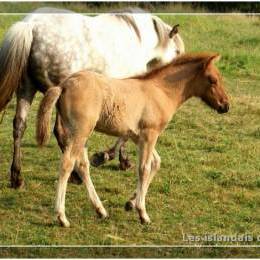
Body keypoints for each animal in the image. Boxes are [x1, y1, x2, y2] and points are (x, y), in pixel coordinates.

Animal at [0, 7, 184, 188]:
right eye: (177, 51)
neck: (139, 39)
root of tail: (31, 25)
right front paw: (114, 158)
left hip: (26, 89)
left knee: (19, 126)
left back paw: (17, 178)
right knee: (61, 133)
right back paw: (75, 175)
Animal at [37, 51, 230, 226]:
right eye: (212, 80)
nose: (225, 106)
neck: (161, 91)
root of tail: (64, 85)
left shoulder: (138, 136)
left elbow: (156, 163)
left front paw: (131, 203)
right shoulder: (150, 134)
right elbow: (144, 168)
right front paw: (142, 213)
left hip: (79, 134)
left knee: (82, 165)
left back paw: (100, 210)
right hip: (80, 132)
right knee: (67, 164)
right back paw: (62, 217)